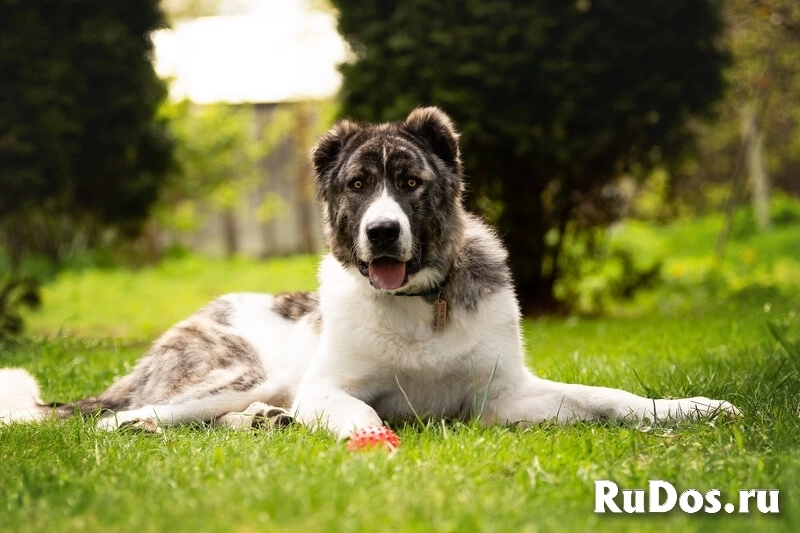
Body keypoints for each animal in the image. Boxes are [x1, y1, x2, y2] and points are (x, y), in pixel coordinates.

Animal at [0, 107, 736, 436]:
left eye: (409, 182)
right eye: (358, 185)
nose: (382, 231)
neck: (421, 306)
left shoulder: (505, 398)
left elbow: (610, 397)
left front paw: (691, 408)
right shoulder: (330, 388)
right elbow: (357, 412)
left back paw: (264, 423)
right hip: (238, 370)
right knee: (115, 420)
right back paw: (153, 425)